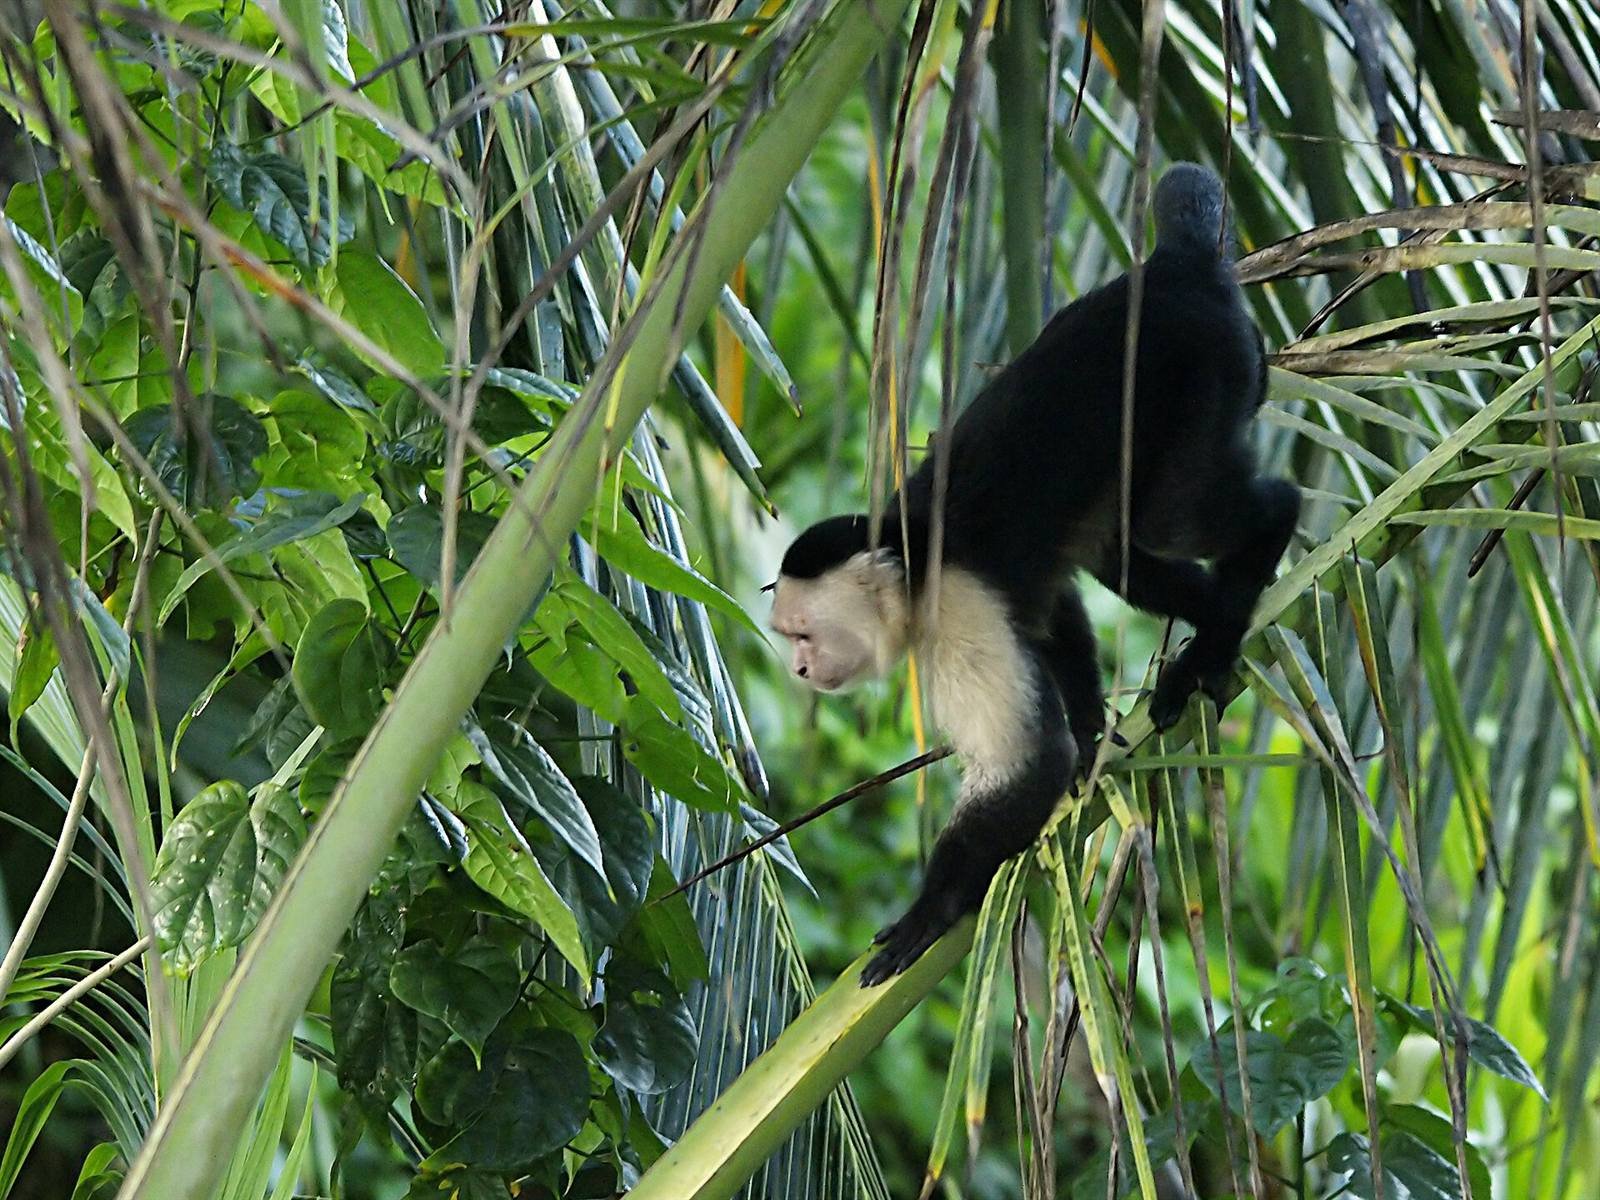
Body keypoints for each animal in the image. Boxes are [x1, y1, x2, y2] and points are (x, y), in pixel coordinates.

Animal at [768, 163, 1300, 985]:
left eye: (803, 633)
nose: (798, 669)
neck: (909, 562)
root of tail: (1170, 270)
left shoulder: (954, 610)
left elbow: (1028, 764)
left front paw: (935, 908)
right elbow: (1055, 618)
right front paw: (1088, 733)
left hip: (1210, 369)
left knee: (1172, 519)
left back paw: (1258, 558)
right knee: (1121, 551)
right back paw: (1213, 630)